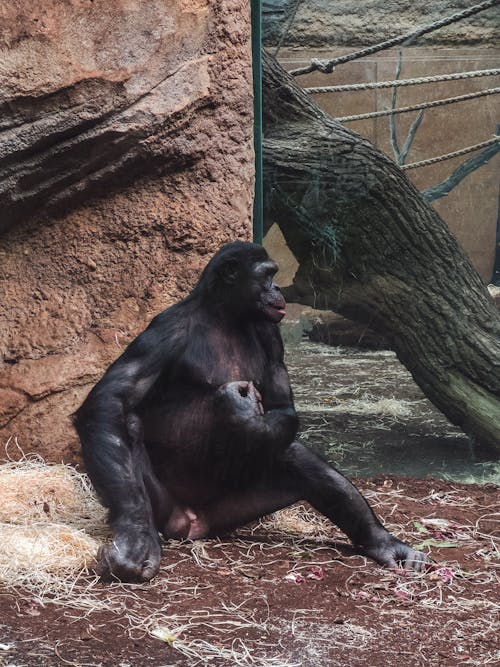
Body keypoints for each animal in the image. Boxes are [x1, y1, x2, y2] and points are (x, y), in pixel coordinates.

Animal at [75, 243, 426, 580]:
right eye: (267, 275)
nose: (277, 288)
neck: (225, 316)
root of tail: (193, 523)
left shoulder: (271, 335)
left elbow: (281, 406)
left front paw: (243, 417)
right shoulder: (163, 330)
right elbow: (113, 399)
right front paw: (135, 540)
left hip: (230, 512)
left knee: (295, 454)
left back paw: (384, 544)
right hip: (168, 512)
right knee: (129, 423)